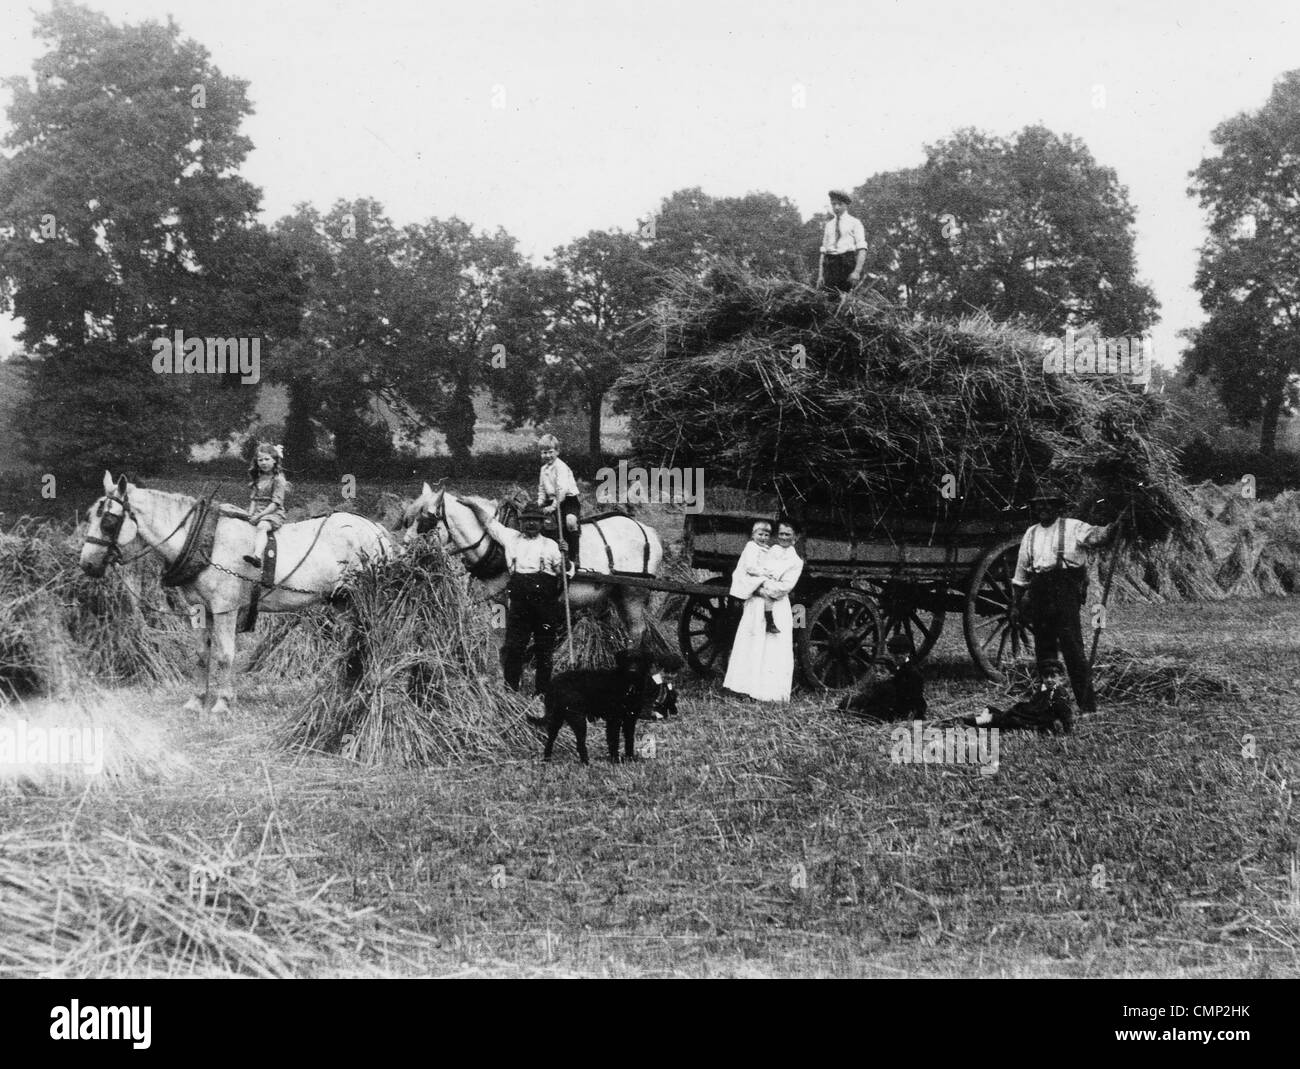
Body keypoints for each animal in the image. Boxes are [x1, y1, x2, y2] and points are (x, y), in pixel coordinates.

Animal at [81, 473, 395, 717]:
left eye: (108, 520)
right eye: (89, 516)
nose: (87, 564)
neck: (205, 542)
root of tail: (376, 529)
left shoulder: (225, 608)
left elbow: (224, 655)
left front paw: (222, 702)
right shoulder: (199, 609)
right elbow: (201, 655)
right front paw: (197, 700)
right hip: (344, 601)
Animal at [397, 486, 665, 645]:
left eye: (426, 522)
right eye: (407, 520)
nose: (402, 554)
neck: (495, 542)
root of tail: (648, 531)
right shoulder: (498, 599)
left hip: (633, 592)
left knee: (637, 631)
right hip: (615, 593)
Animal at [540, 647, 686, 764]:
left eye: (639, 660)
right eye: (627, 660)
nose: (632, 671)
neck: (629, 686)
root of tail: (553, 683)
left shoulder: (630, 719)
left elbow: (629, 740)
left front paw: (630, 758)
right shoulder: (614, 719)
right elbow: (614, 740)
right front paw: (616, 760)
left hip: (556, 719)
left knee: (550, 740)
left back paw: (547, 760)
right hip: (577, 719)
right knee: (580, 743)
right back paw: (586, 763)